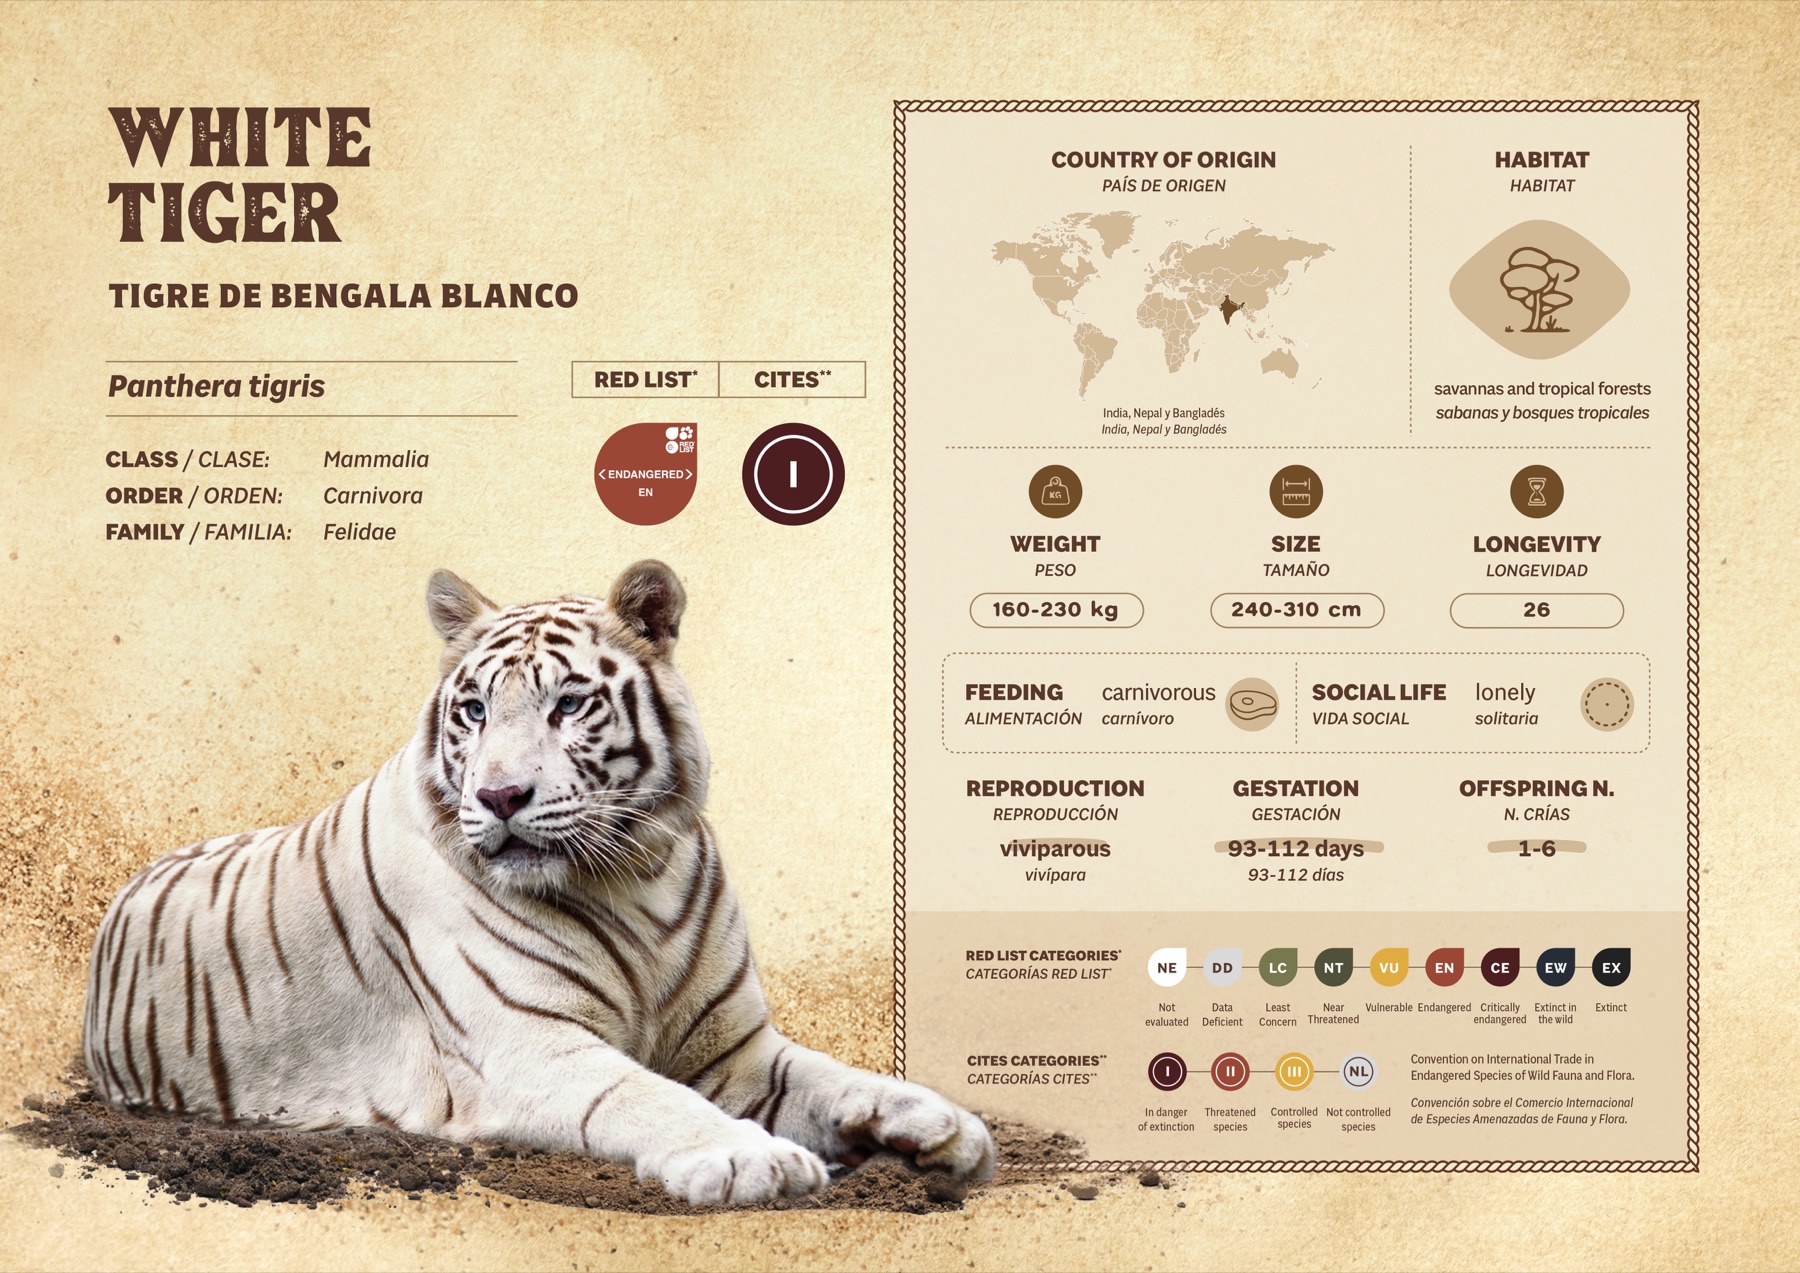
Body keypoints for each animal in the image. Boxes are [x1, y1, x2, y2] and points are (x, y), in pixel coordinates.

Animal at [82, 560, 994, 1205]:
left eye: (569, 705)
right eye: (475, 710)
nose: (499, 796)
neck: (635, 874)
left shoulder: (735, 1049)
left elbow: (834, 1074)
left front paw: (941, 1123)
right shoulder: (529, 1045)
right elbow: (647, 1096)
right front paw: (751, 1158)